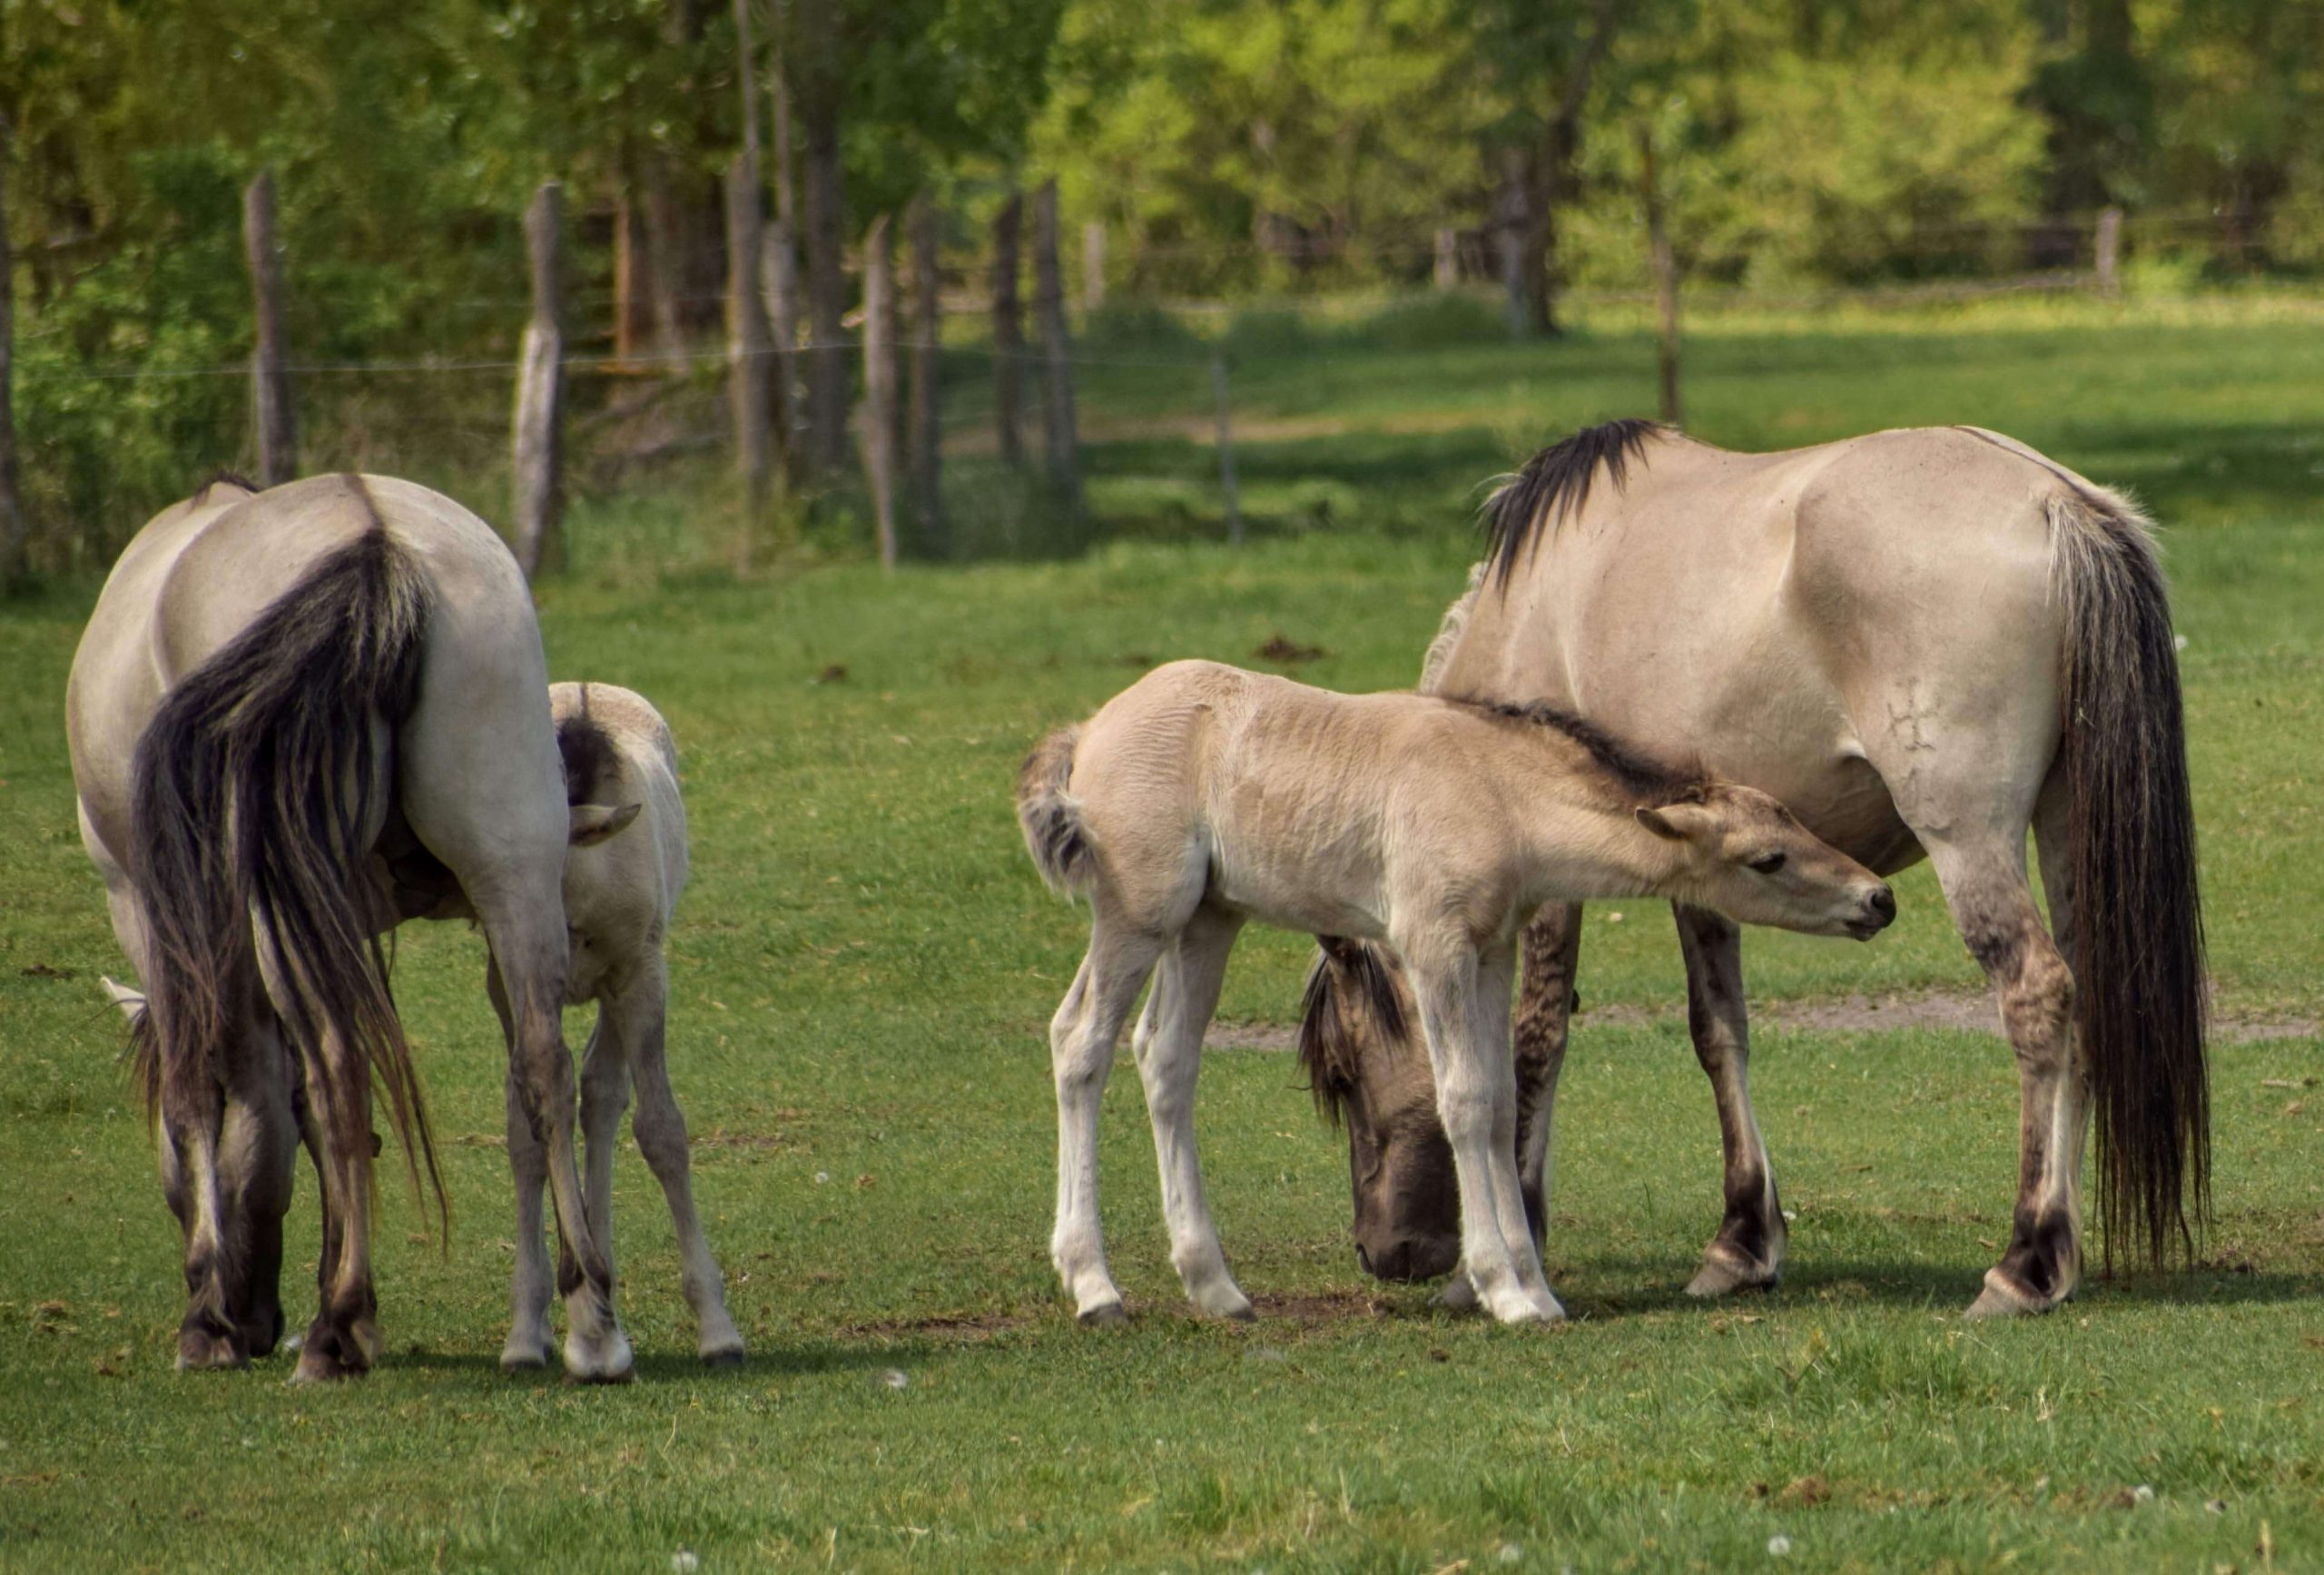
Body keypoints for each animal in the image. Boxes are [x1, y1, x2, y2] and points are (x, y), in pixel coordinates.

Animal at [67, 471, 632, 1384]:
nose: (257, 1317)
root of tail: (375, 538)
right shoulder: (349, 922)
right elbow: (328, 1111)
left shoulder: (148, 908)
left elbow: (204, 1091)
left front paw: (210, 1318)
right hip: (511, 870)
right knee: (541, 1063)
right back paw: (591, 1323)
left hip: (268, 900)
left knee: (337, 1065)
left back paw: (331, 1332)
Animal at [1018, 659, 1886, 1328]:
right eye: (1768, 858)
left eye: (1793, 818)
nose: (1877, 897)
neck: (1497, 791)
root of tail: (1087, 733)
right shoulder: (1432, 944)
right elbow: (1463, 1099)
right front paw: (1505, 1289)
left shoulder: (1492, 948)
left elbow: (1502, 1100)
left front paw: (1536, 1285)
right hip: (1139, 910)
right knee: (1080, 1040)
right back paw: (1094, 1286)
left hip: (1209, 918)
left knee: (1166, 1057)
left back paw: (1216, 1287)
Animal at [1301, 422, 2202, 1319]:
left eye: (1342, 1075)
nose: (1383, 1252)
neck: (1524, 615)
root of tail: (2055, 502)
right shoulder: (1705, 870)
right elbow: (1718, 1030)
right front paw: (1741, 1242)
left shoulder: (1549, 876)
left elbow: (1536, 1035)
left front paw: (1513, 1244)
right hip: (2069, 827)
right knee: (2086, 1000)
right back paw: (2061, 1256)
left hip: (1970, 839)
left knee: (2038, 994)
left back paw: (2027, 1261)